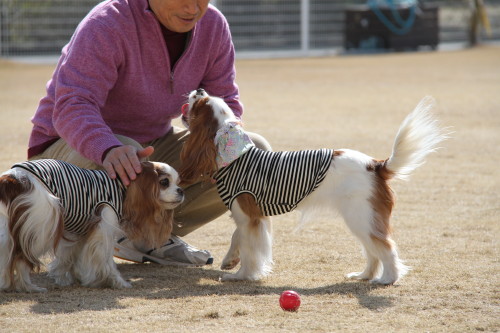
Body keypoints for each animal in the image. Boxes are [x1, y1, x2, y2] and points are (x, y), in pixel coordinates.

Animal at [0, 158, 184, 290]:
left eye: (178, 182)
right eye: (164, 182)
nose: (181, 191)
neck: (122, 189)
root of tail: (13, 177)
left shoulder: (77, 230)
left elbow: (68, 256)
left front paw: (66, 278)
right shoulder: (104, 229)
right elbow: (106, 260)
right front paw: (117, 282)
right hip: (43, 223)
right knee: (21, 257)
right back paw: (28, 287)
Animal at [179, 89, 446, 284]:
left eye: (199, 101)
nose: (198, 88)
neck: (234, 153)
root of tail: (376, 164)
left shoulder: (250, 217)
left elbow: (250, 249)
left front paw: (242, 275)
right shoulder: (252, 216)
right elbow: (238, 237)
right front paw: (230, 261)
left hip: (361, 217)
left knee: (386, 248)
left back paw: (387, 279)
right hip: (361, 220)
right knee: (372, 250)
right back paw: (364, 275)